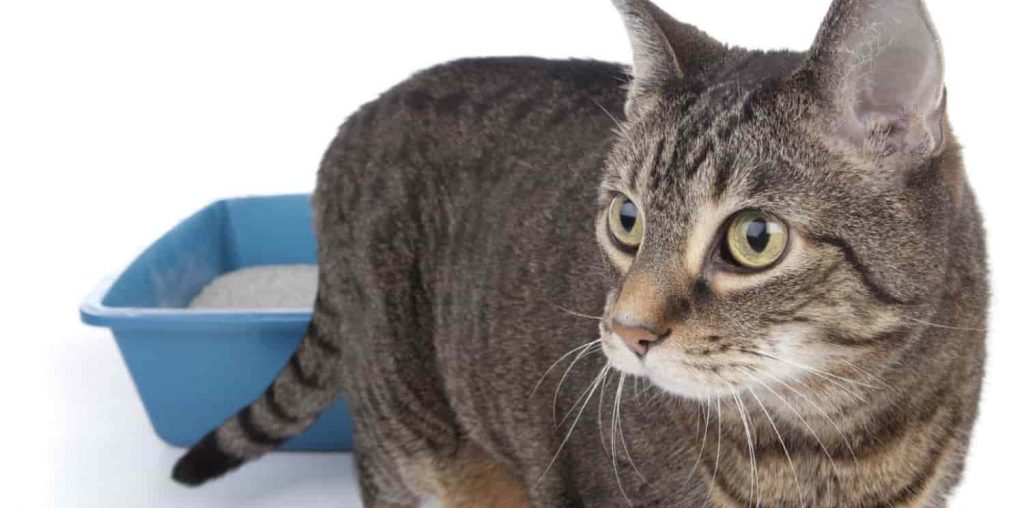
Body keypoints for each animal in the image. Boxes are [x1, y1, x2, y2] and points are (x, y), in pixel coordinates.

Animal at [172, 0, 987, 505]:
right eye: (627, 220)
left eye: (754, 239)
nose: (626, 331)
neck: (834, 441)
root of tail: (356, 119)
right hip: (406, 418)